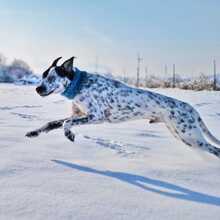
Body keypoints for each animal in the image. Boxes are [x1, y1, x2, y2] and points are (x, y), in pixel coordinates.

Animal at [26, 56, 220, 158]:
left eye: (51, 78)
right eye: (43, 75)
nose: (37, 88)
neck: (79, 85)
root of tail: (191, 108)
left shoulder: (97, 117)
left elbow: (66, 124)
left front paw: (69, 134)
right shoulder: (78, 115)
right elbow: (53, 123)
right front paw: (34, 132)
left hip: (190, 135)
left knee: (216, 150)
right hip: (183, 136)